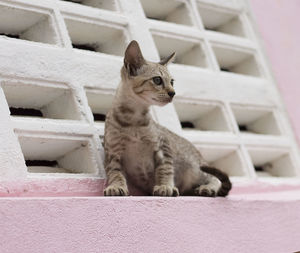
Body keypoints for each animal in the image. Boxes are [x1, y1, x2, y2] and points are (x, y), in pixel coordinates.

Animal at [103, 40, 232, 197]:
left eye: (172, 82)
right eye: (157, 80)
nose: (173, 93)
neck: (132, 119)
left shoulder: (164, 147)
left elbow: (165, 169)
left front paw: (165, 186)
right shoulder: (112, 153)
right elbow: (115, 172)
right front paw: (116, 186)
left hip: (196, 168)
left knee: (214, 177)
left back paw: (209, 188)